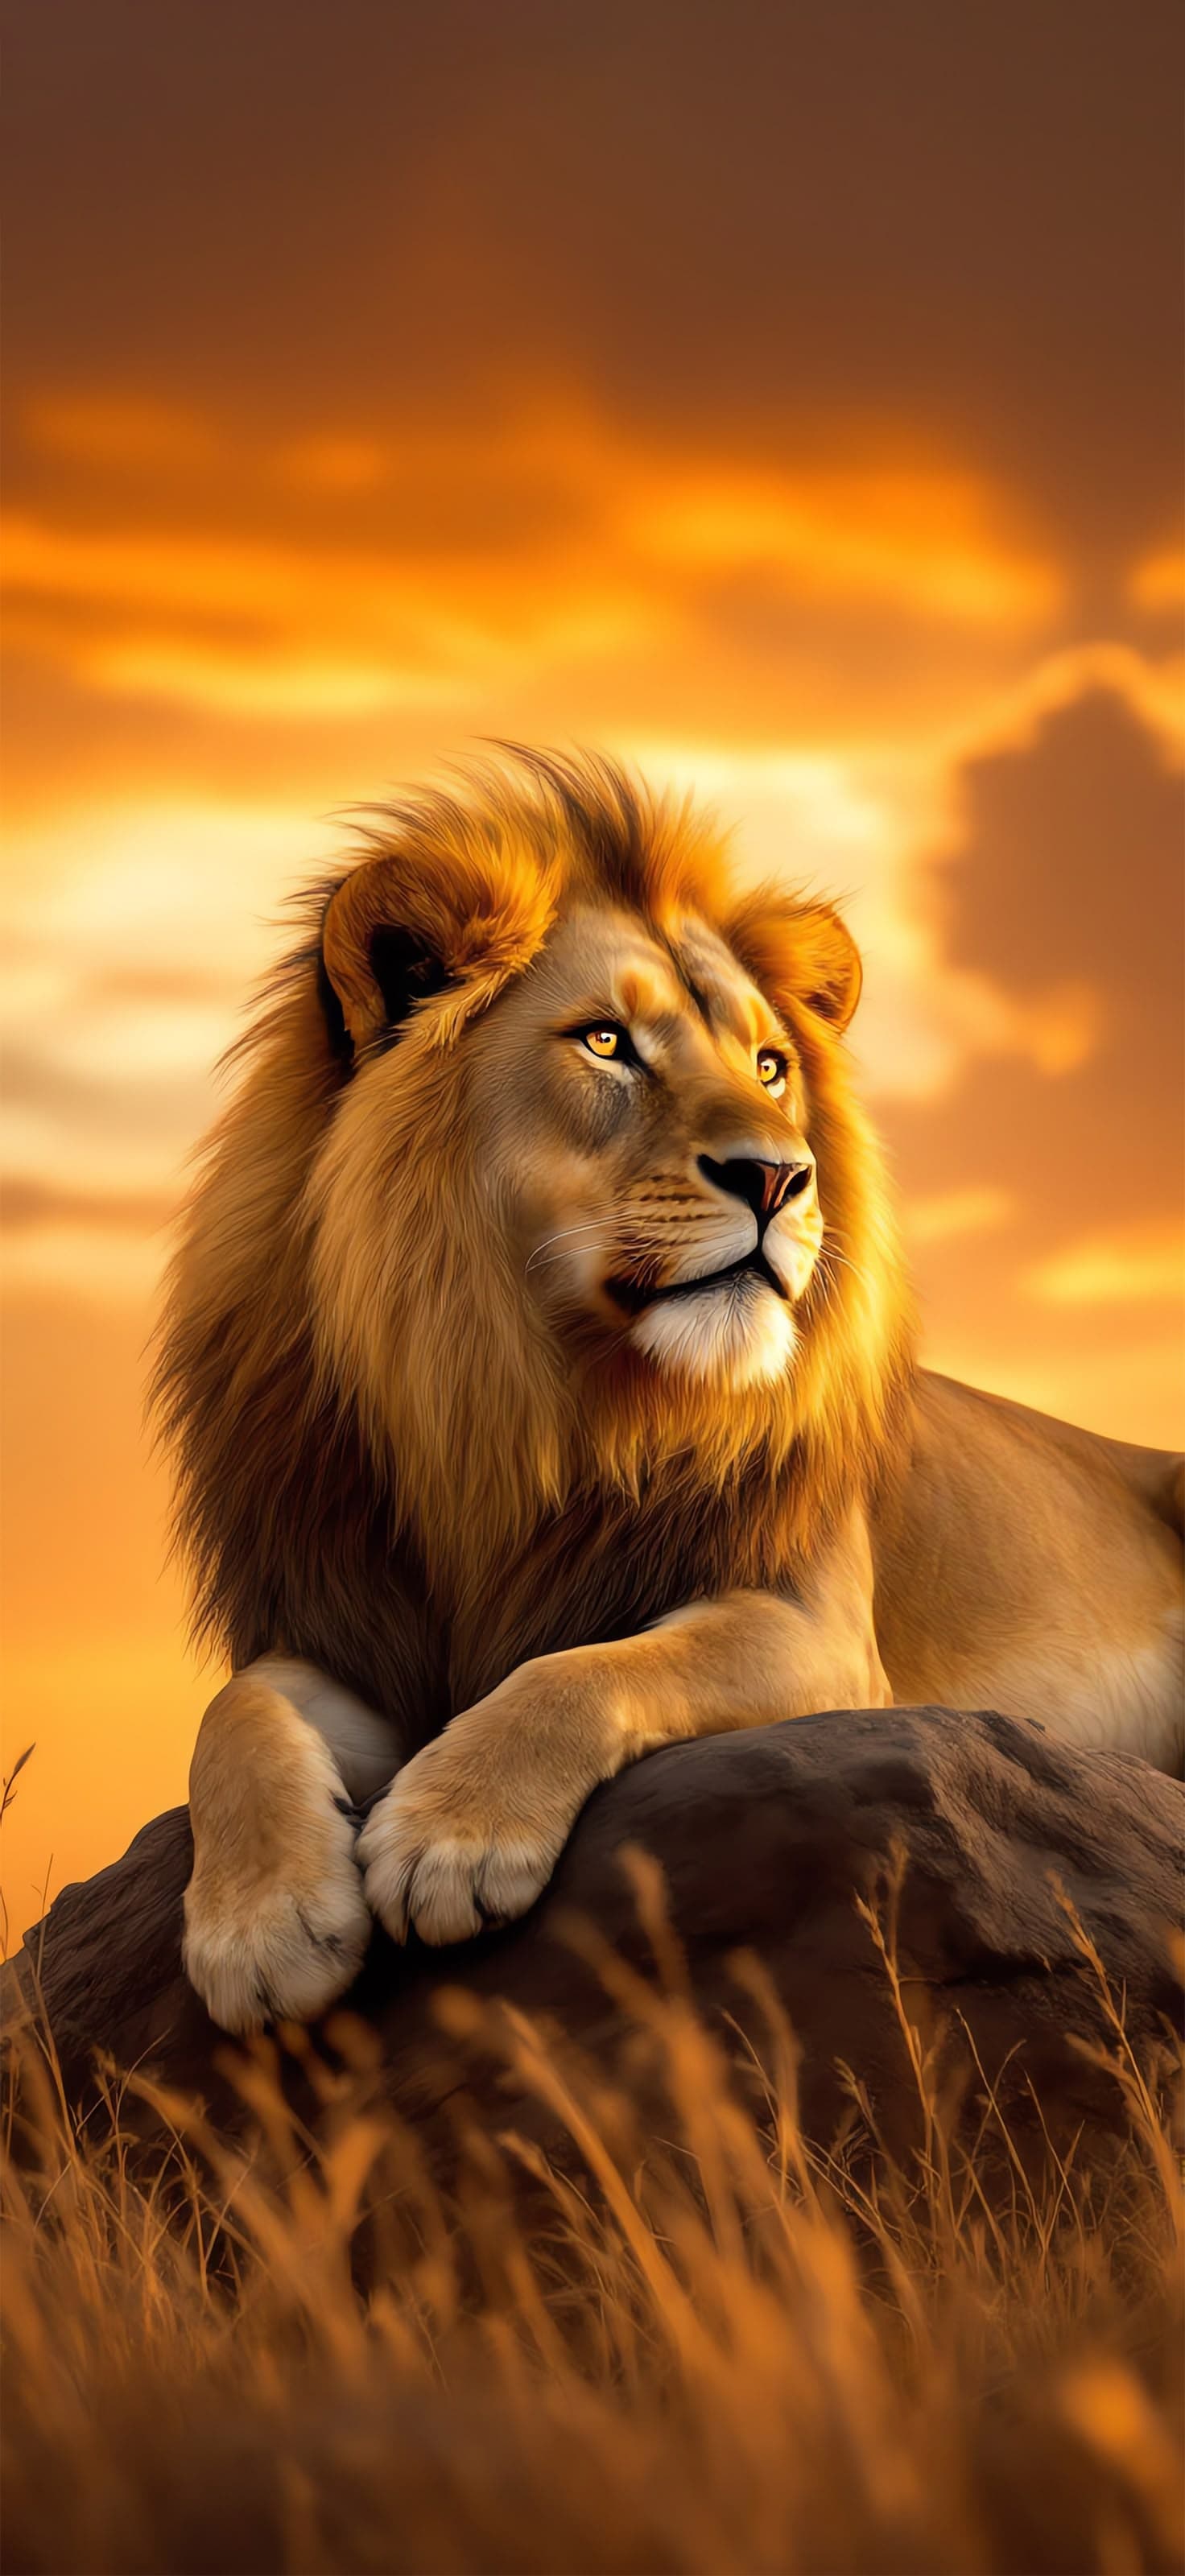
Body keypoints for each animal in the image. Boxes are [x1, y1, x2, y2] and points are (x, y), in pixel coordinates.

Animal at [155, 749, 1184, 2034]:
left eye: (770, 1066)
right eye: (605, 1043)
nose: (780, 1177)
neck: (516, 1402)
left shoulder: (813, 1629)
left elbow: (588, 1668)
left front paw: (451, 1836)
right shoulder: (345, 1623)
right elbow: (233, 1715)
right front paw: (261, 1925)